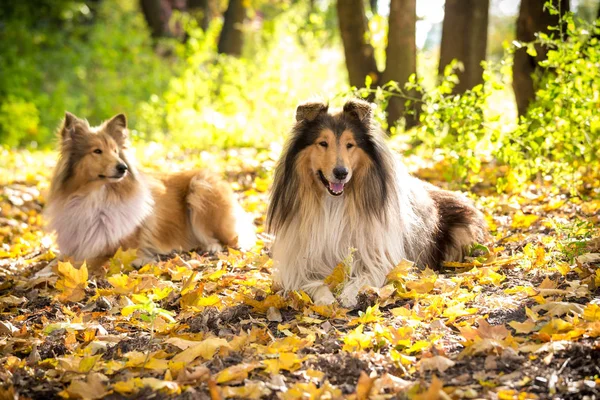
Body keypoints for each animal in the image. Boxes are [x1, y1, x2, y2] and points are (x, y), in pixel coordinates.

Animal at [45, 111, 255, 268]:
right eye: (97, 151)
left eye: (115, 151)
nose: (123, 168)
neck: (95, 198)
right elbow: (58, 263)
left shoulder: (121, 250)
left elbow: (87, 263)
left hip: (200, 187)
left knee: (231, 240)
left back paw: (211, 246)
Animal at [266, 99, 488, 306]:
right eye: (323, 143)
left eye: (350, 144)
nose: (341, 173)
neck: (333, 204)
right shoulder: (299, 265)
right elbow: (313, 284)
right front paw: (326, 299)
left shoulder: (384, 260)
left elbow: (366, 276)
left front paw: (348, 295)